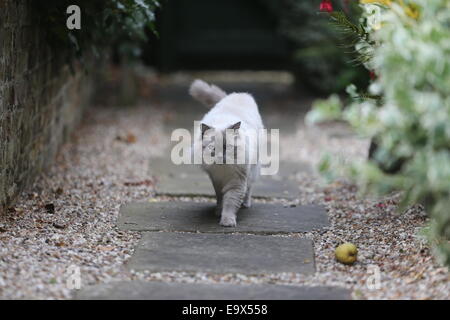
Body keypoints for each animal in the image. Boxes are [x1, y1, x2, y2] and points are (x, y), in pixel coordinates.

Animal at [187, 79, 264, 226]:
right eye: (213, 148)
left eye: (226, 147)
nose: (220, 157)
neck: (223, 170)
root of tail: (239, 94)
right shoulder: (216, 180)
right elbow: (220, 198)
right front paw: (218, 212)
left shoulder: (236, 182)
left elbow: (230, 203)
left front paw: (227, 222)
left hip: (253, 170)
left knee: (249, 188)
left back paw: (246, 204)